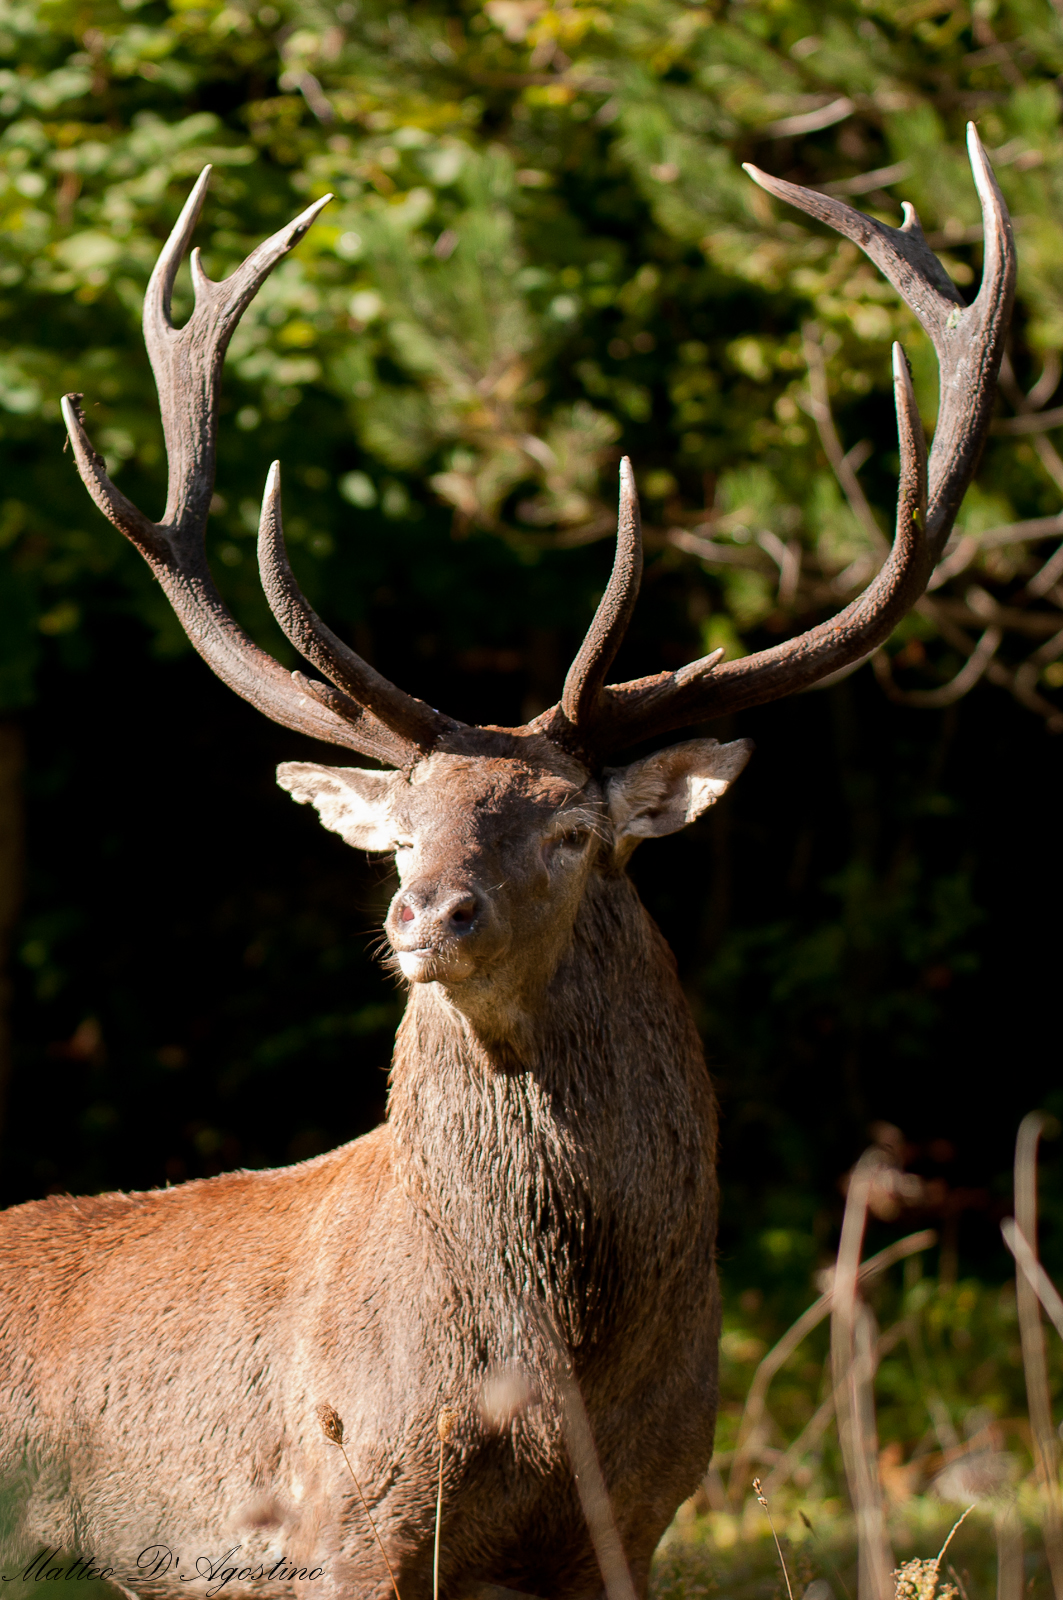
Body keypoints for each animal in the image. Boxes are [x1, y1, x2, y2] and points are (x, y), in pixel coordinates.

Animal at [0, 126, 1013, 1600]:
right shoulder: (348, 1509)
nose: (427, 913)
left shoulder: (636, 1515)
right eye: (402, 828)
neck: (554, 1377)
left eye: (573, 831)